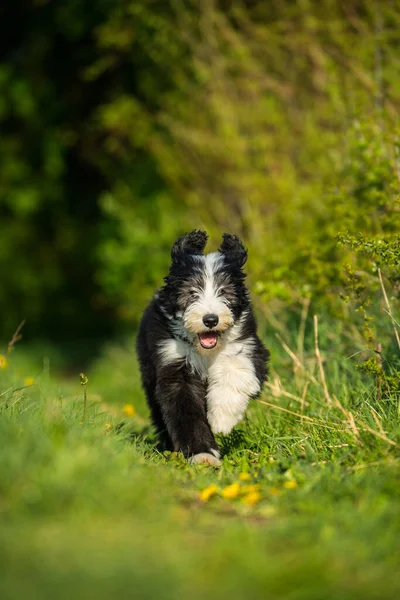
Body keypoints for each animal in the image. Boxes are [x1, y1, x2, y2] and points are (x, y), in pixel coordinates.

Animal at [136, 227, 270, 466]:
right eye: (191, 292)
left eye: (224, 291)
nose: (210, 320)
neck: (205, 350)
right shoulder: (173, 364)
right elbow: (185, 410)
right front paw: (202, 454)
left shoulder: (249, 347)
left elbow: (235, 369)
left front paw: (221, 419)